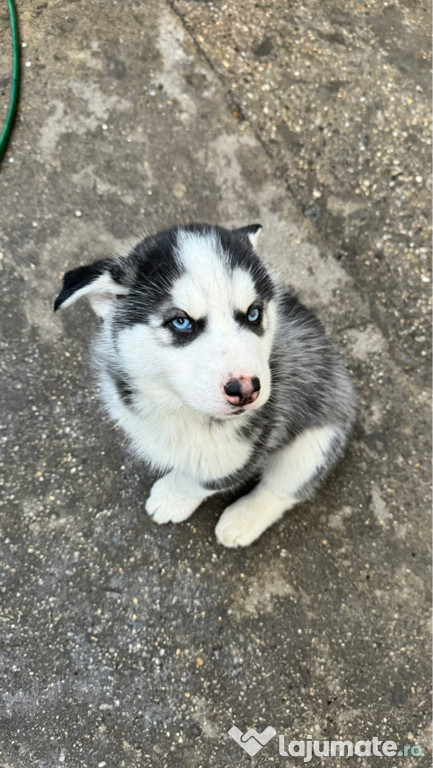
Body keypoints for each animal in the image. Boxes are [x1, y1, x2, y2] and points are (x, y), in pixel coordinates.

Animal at [54, 222, 354, 544]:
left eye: (253, 313)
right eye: (181, 322)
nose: (245, 390)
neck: (178, 405)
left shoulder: (251, 442)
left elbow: (202, 480)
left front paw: (172, 497)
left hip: (321, 433)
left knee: (285, 487)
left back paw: (243, 519)